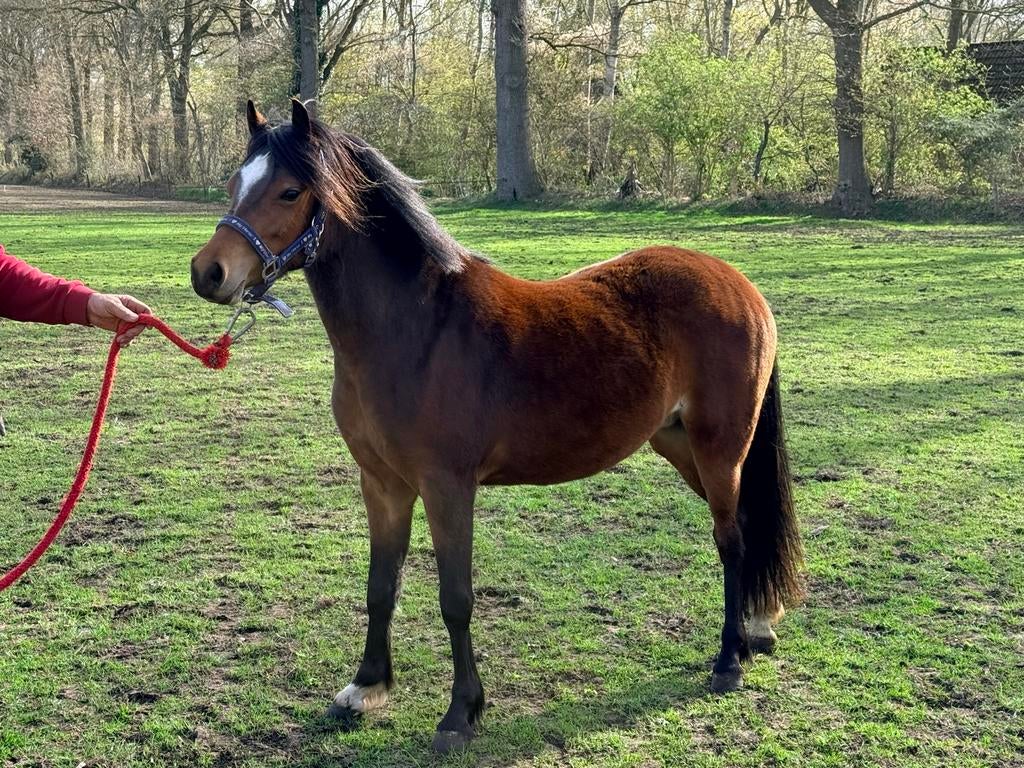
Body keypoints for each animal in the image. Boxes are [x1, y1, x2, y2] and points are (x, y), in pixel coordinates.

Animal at [190, 99, 803, 753]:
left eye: (288, 191)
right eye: (234, 183)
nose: (209, 272)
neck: (416, 329)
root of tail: (738, 284)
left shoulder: (447, 487)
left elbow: (455, 598)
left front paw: (461, 713)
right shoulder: (382, 484)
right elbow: (382, 586)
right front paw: (367, 688)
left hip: (720, 449)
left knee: (731, 540)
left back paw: (729, 660)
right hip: (681, 444)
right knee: (747, 525)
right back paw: (756, 629)